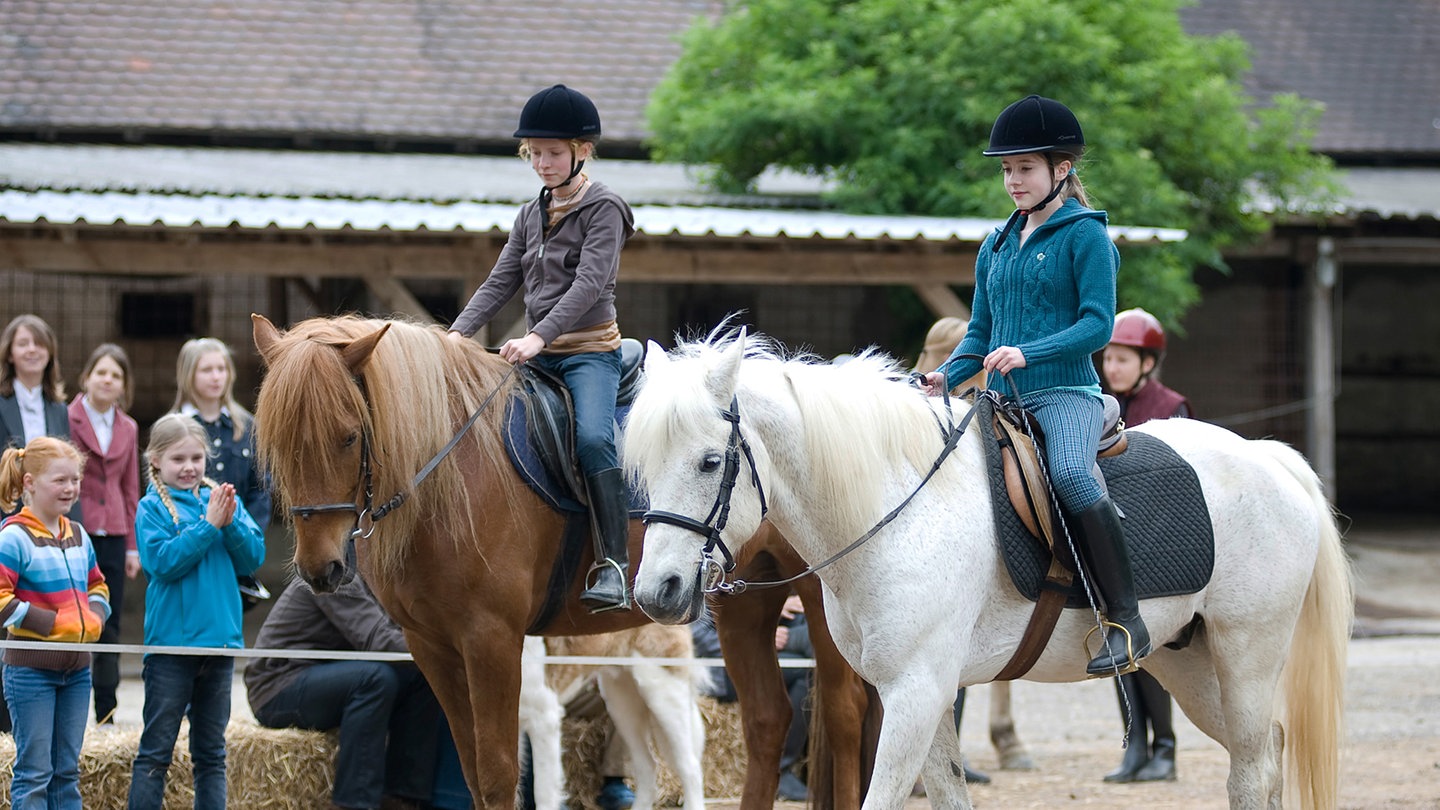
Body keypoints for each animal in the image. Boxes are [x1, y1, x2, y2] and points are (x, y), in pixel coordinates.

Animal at [250, 312, 864, 801]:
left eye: (349, 437)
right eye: (276, 441)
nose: (322, 568)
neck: (452, 475)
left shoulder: (492, 642)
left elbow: (501, 777)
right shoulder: (432, 647)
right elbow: (473, 774)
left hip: (820, 601)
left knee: (845, 718)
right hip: (739, 604)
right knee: (766, 721)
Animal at [627, 330, 1347, 807]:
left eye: (709, 462)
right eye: (644, 464)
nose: (658, 592)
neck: (899, 507)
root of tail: (1268, 456)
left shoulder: (916, 693)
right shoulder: (921, 695)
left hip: (1246, 655)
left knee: (1252, 768)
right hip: (1187, 662)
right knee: (1267, 754)